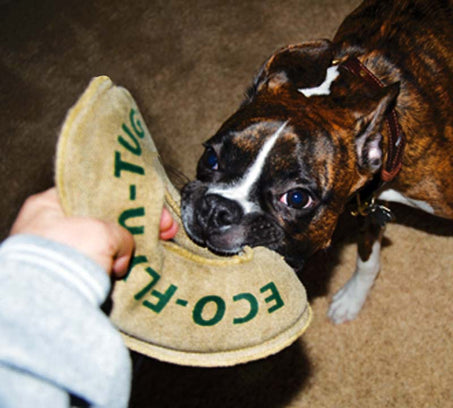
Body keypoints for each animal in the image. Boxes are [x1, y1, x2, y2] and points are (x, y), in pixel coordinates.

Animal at [179, 0, 448, 326]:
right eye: (211, 157)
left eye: (297, 198)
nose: (216, 209)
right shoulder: (371, 206)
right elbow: (367, 257)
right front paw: (353, 298)